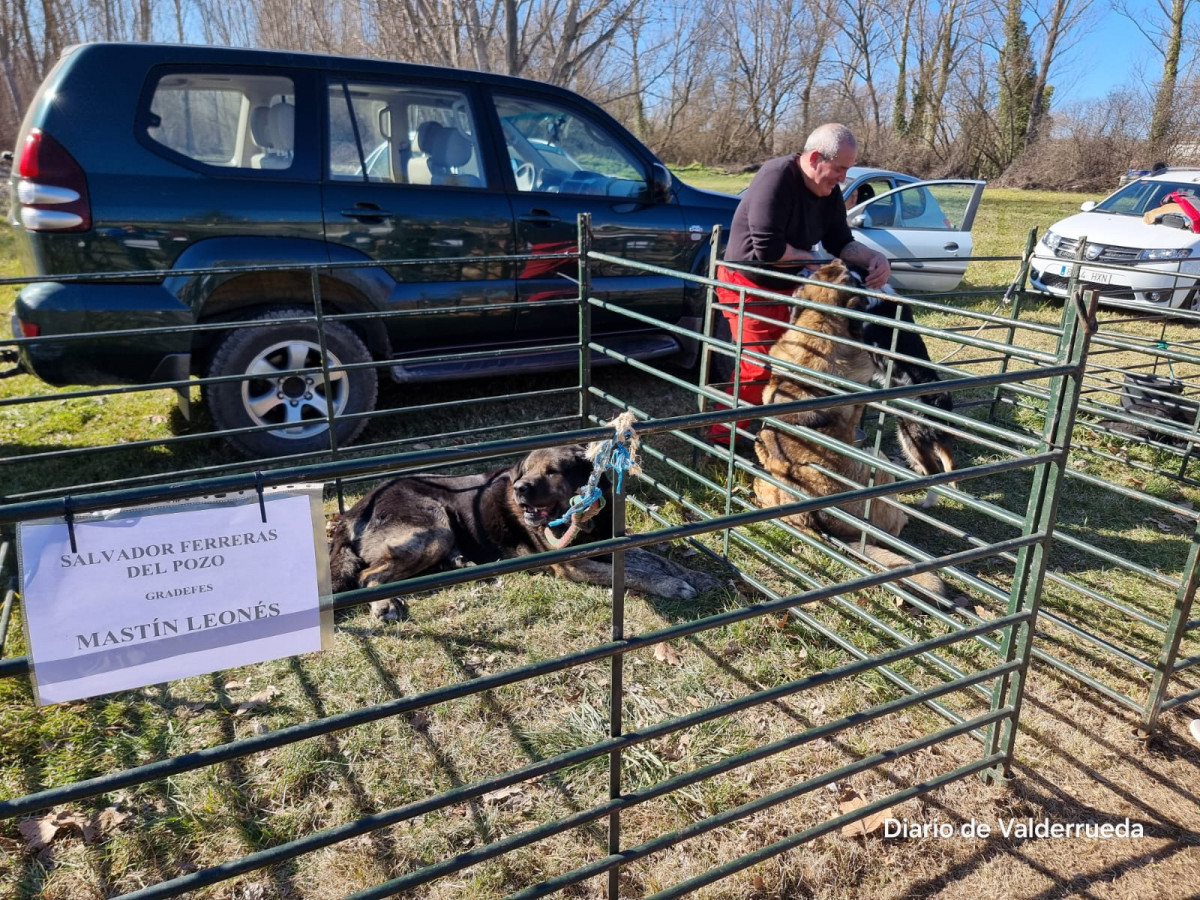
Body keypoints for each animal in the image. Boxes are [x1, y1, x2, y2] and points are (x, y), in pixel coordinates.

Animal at [326, 446, 720, 619]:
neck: (585, 523)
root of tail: (353, 512)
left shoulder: (612, 544)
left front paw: (698, 576)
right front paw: (672, 587)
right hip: (434, 527)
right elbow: (637, 574)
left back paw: (460, 563)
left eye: (553, 472)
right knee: (367, 575)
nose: (518, 489)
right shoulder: (573, 566)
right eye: (525, 471)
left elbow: (656, 559)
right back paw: (383, 602)